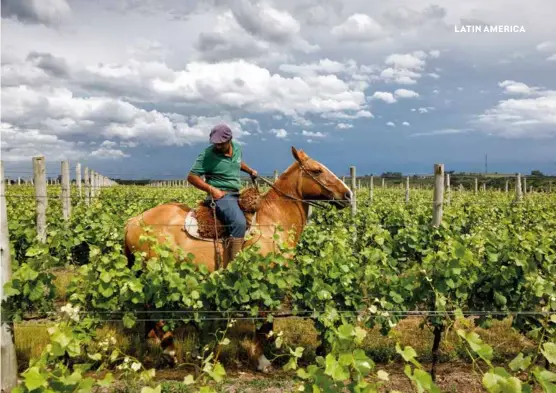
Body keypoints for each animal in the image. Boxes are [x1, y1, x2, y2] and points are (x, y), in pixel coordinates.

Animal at [124, 146, 354, 370]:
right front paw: (261, 360)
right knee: (152, 309)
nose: (348, 194)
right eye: (317, 170)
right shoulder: (265, 279)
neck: (272, 221)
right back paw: (169, 351)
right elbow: (264, 323)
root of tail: (134, 220)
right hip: (155, 273)